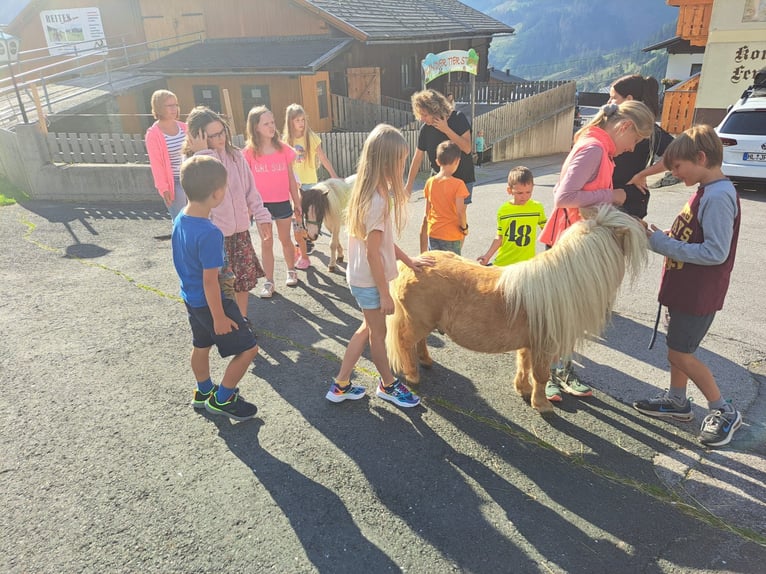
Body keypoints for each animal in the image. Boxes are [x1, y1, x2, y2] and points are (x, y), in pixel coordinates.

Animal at [390, 206, 648, 414]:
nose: (646, 228)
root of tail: (412, 264)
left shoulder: (529, 343)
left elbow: (524, 366)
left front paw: (523, 390)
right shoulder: (544, 345)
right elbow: (541, 375)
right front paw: (542, 405)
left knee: (419, 342)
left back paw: (425, 361)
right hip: (417, 322)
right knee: (405, 342)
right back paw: (412, 375)